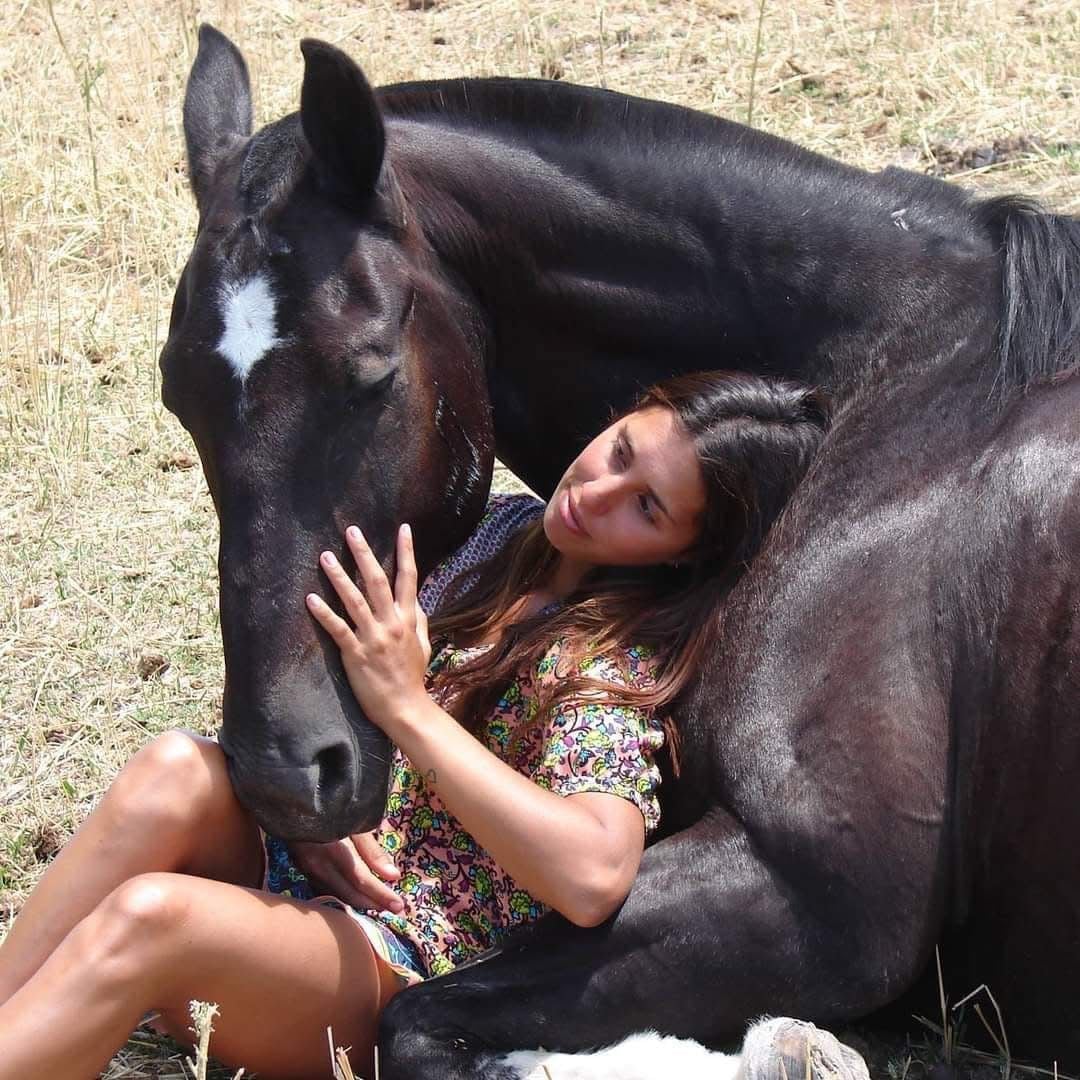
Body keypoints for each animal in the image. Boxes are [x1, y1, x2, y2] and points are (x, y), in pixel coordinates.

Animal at [157, 25, 1080, 1080]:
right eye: (177, 393)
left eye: (371, 374)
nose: (283, 773)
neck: (897, 396)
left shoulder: (817, 898)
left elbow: (416, 1021)